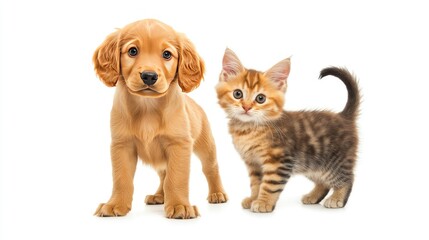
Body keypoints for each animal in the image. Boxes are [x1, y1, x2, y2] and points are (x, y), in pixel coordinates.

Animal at [92, 19, 227, 218]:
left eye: (167, 54)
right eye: (133, 51)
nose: (149, 76)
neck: (148, 107)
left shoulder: (179, 145)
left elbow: (176, 178)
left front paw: (180, 205)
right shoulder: (122, 145)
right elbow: (121, 178)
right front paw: (115, 204)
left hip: (206, 147)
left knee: (211, 168)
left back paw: (217, 193)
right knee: (163, 174)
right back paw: (159, 196)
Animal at [216, 48, 360, 212]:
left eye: (260, 98)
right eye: (237, 94)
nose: (246, 107)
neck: (249, 128)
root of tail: (343, 116)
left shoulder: (279, 161)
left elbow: (269, 184)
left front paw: (264, 202)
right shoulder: (253, 163)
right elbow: (256, 183)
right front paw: (253, 198)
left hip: (334, 162)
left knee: (347, 179)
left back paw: (337, 198)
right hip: (313, 164)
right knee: (324, 183)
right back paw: (313, 196)